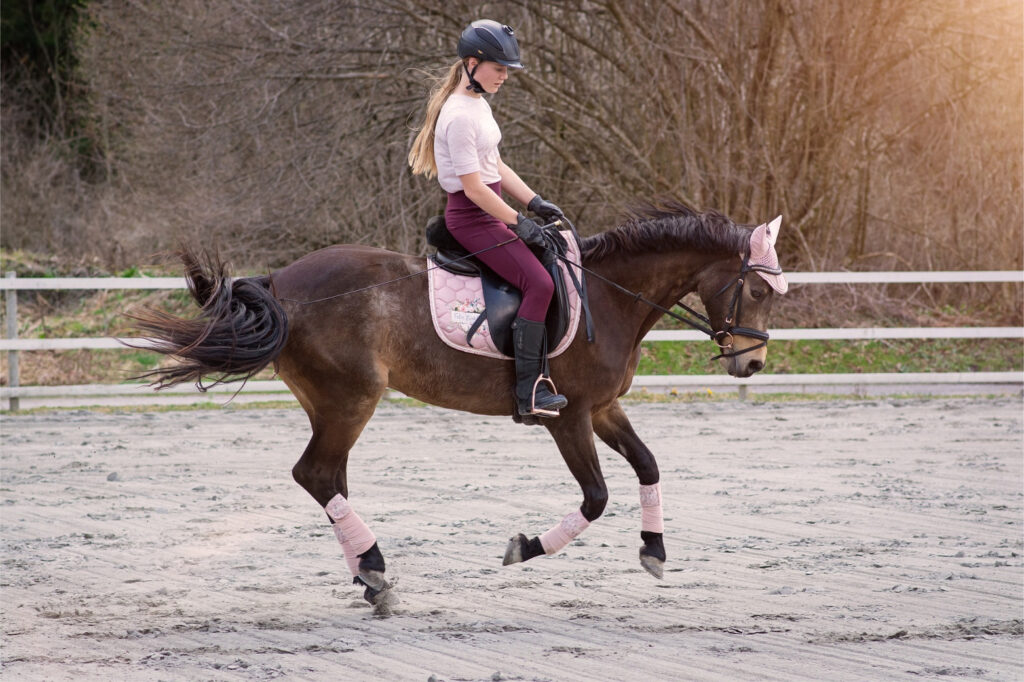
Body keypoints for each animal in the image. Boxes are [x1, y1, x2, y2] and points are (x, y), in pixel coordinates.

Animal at [128, 201, 782, 610]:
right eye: (755, 288)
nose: (751, 365)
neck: (607, 296)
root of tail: (281, 281)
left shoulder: (602, 410)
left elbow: (647, 465)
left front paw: (654, 551)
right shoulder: (568, 416)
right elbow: (596, 498)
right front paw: (526, 548)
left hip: (332, 404)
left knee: (330, 479)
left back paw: (370, 577)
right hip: (349, 399)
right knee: (315, 473)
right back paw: (375, 572)